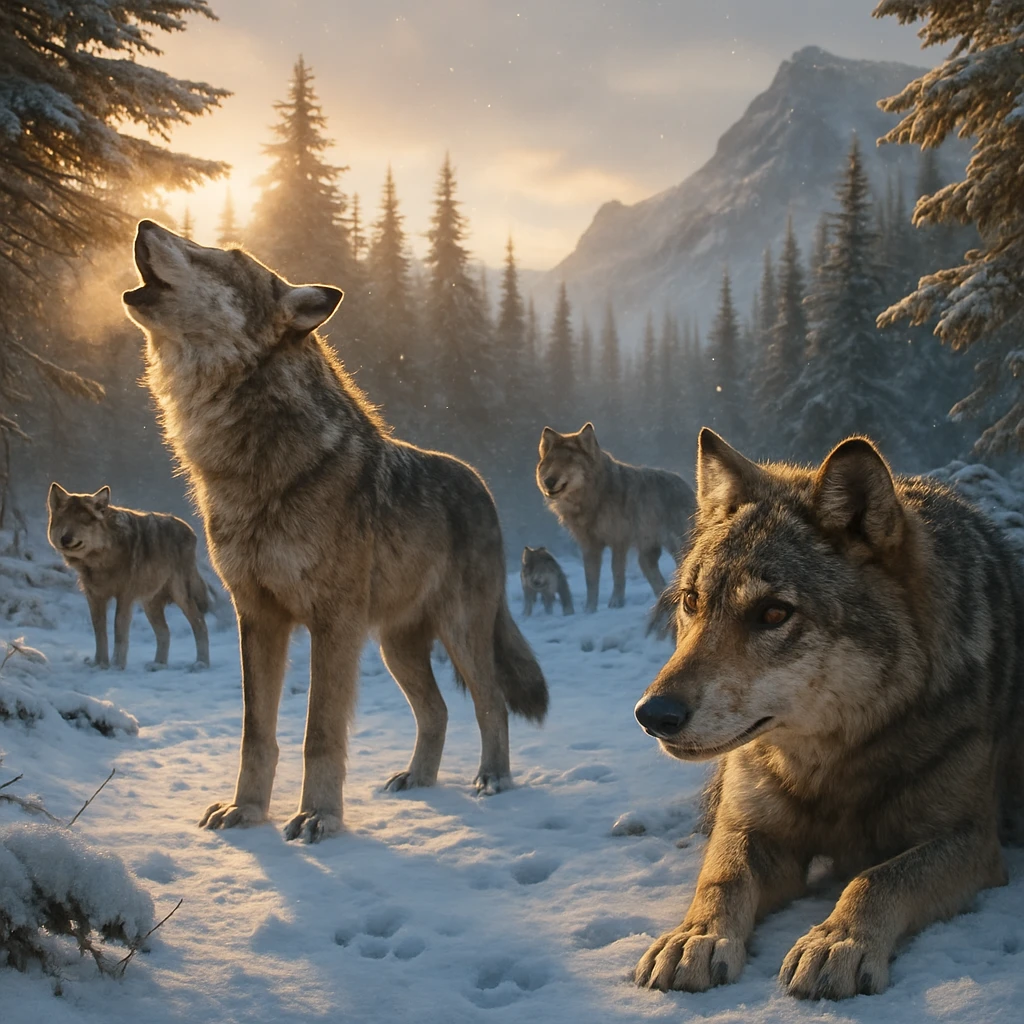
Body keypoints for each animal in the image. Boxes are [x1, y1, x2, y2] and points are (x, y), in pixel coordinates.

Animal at [46, 483, 210, 670]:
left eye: (83, 521)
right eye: (64, 520)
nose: (65, 539)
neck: (100, 559)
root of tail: (190, 530)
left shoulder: (125, 596)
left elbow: (119, 629)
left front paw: (117, 666)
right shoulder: (94, 597)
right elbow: (99, 632)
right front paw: (100, 664)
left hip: (181, 595)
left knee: (200, 625)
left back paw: (201, 664)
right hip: (150, 605)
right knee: (165, 632)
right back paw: (158, 665)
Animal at [122, 220, 548, 843]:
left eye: (222, 257)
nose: (143, 223)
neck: (252, 465)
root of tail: (480, 483)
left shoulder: (333, 624)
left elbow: (319, 734)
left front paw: (318, 816)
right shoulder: (258, 616)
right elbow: (256, 734)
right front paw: (246, 810)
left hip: (459, 631)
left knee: (489, 702)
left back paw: (493, 779)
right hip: (396, 647)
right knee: (437, 710)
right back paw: (417, 780)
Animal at [536, 423, 695, 612]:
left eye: (569, 462)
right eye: (551, 462)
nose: (549, 481)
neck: (593, 499)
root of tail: (685, 484)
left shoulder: (619, 541)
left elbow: (617, 572)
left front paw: (616, 602)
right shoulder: (589, 546)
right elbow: (590, 581)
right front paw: (589, 610)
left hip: (678, 546)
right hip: (646, 557)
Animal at [632, 428, 1024, 1000]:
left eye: (774, 613)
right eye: (691, 602)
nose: (652, 714)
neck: (829, 763)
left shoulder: (971, 839)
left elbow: (877, 878)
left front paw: (838, 942)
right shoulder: (749, 826)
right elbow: (722, 880)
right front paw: (695, 938)